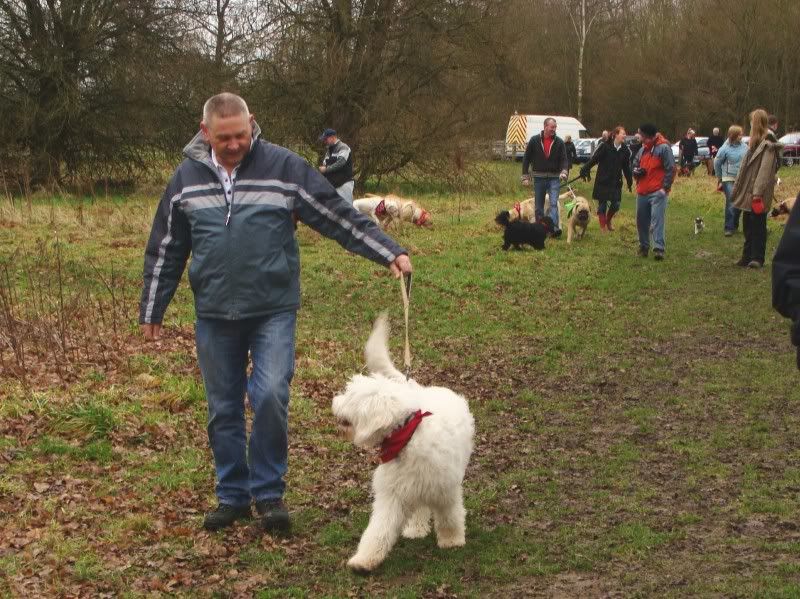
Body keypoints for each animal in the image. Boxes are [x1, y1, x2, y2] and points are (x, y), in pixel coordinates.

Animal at [332, 314, 476, 572]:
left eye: (351, 396)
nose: (334, 401)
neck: (407, 435)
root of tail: (420, 389)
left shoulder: (445, 490)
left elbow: (450, 516)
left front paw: (452, 540)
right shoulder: (392, 494)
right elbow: (378, 529)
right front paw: (364, 560)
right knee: (419, 509)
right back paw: (416, 529)